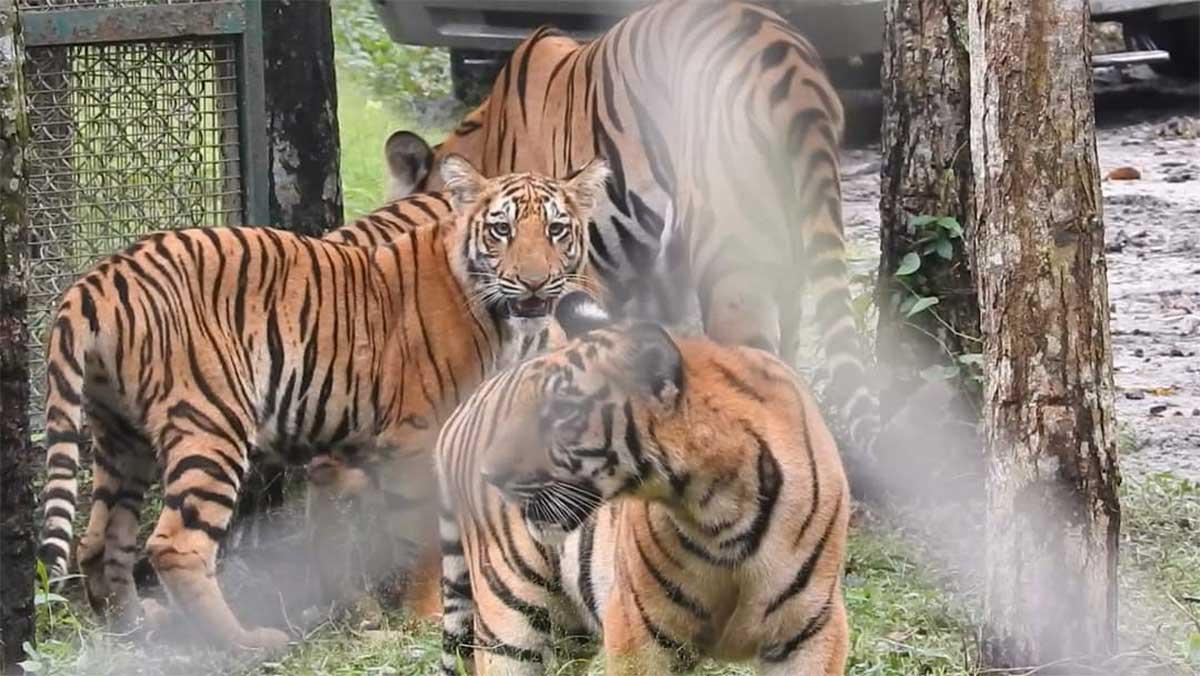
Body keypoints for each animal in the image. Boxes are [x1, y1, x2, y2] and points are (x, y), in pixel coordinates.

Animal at [37, 154, 609, 648]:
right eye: (501, 230)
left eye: (557, 230)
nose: (534, 283)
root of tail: (99, 278)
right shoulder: (417, 439)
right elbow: (423, 540)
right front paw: (424, 616)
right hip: (211, 424)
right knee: (176, 545)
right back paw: (245, 644)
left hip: (120, 438)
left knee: (101, 541)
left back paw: (137, 635)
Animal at [436, 295, 849, 676]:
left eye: (563, 413)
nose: (490, 474)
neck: (718, 512)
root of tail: (461, 409)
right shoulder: (638, 631)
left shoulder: (811, 630)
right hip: (510, 622)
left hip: (567, 632)